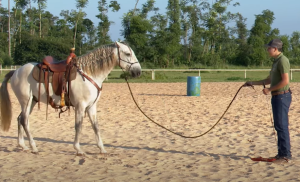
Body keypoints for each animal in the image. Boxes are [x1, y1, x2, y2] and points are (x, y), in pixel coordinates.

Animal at [0, 41, 142, 155]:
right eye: (127, 53)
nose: (138, 71)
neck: (89, 74)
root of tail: (16, 71)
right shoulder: (80, 106)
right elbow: (78, 126)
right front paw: (78, 149)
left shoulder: (91, 106)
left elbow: (95, 126)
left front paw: (102, 149)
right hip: (26, 101)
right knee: (24, 120)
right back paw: (34, 147)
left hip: (32, 101)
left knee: (20, 119)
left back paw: (23, 146)